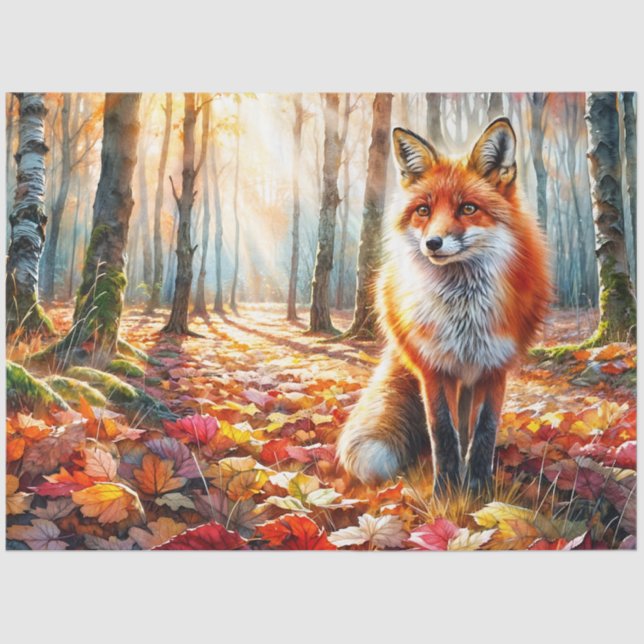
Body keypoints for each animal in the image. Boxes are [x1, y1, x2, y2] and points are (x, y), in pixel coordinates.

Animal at [338, 117, 551, 495]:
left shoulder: (495, 366)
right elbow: (442, 432)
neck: (463, 312)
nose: (432, 243)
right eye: (424, 210)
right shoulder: (434, 367)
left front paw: (479, 489)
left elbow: (483, 432)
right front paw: (446, 493)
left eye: (468, 208)